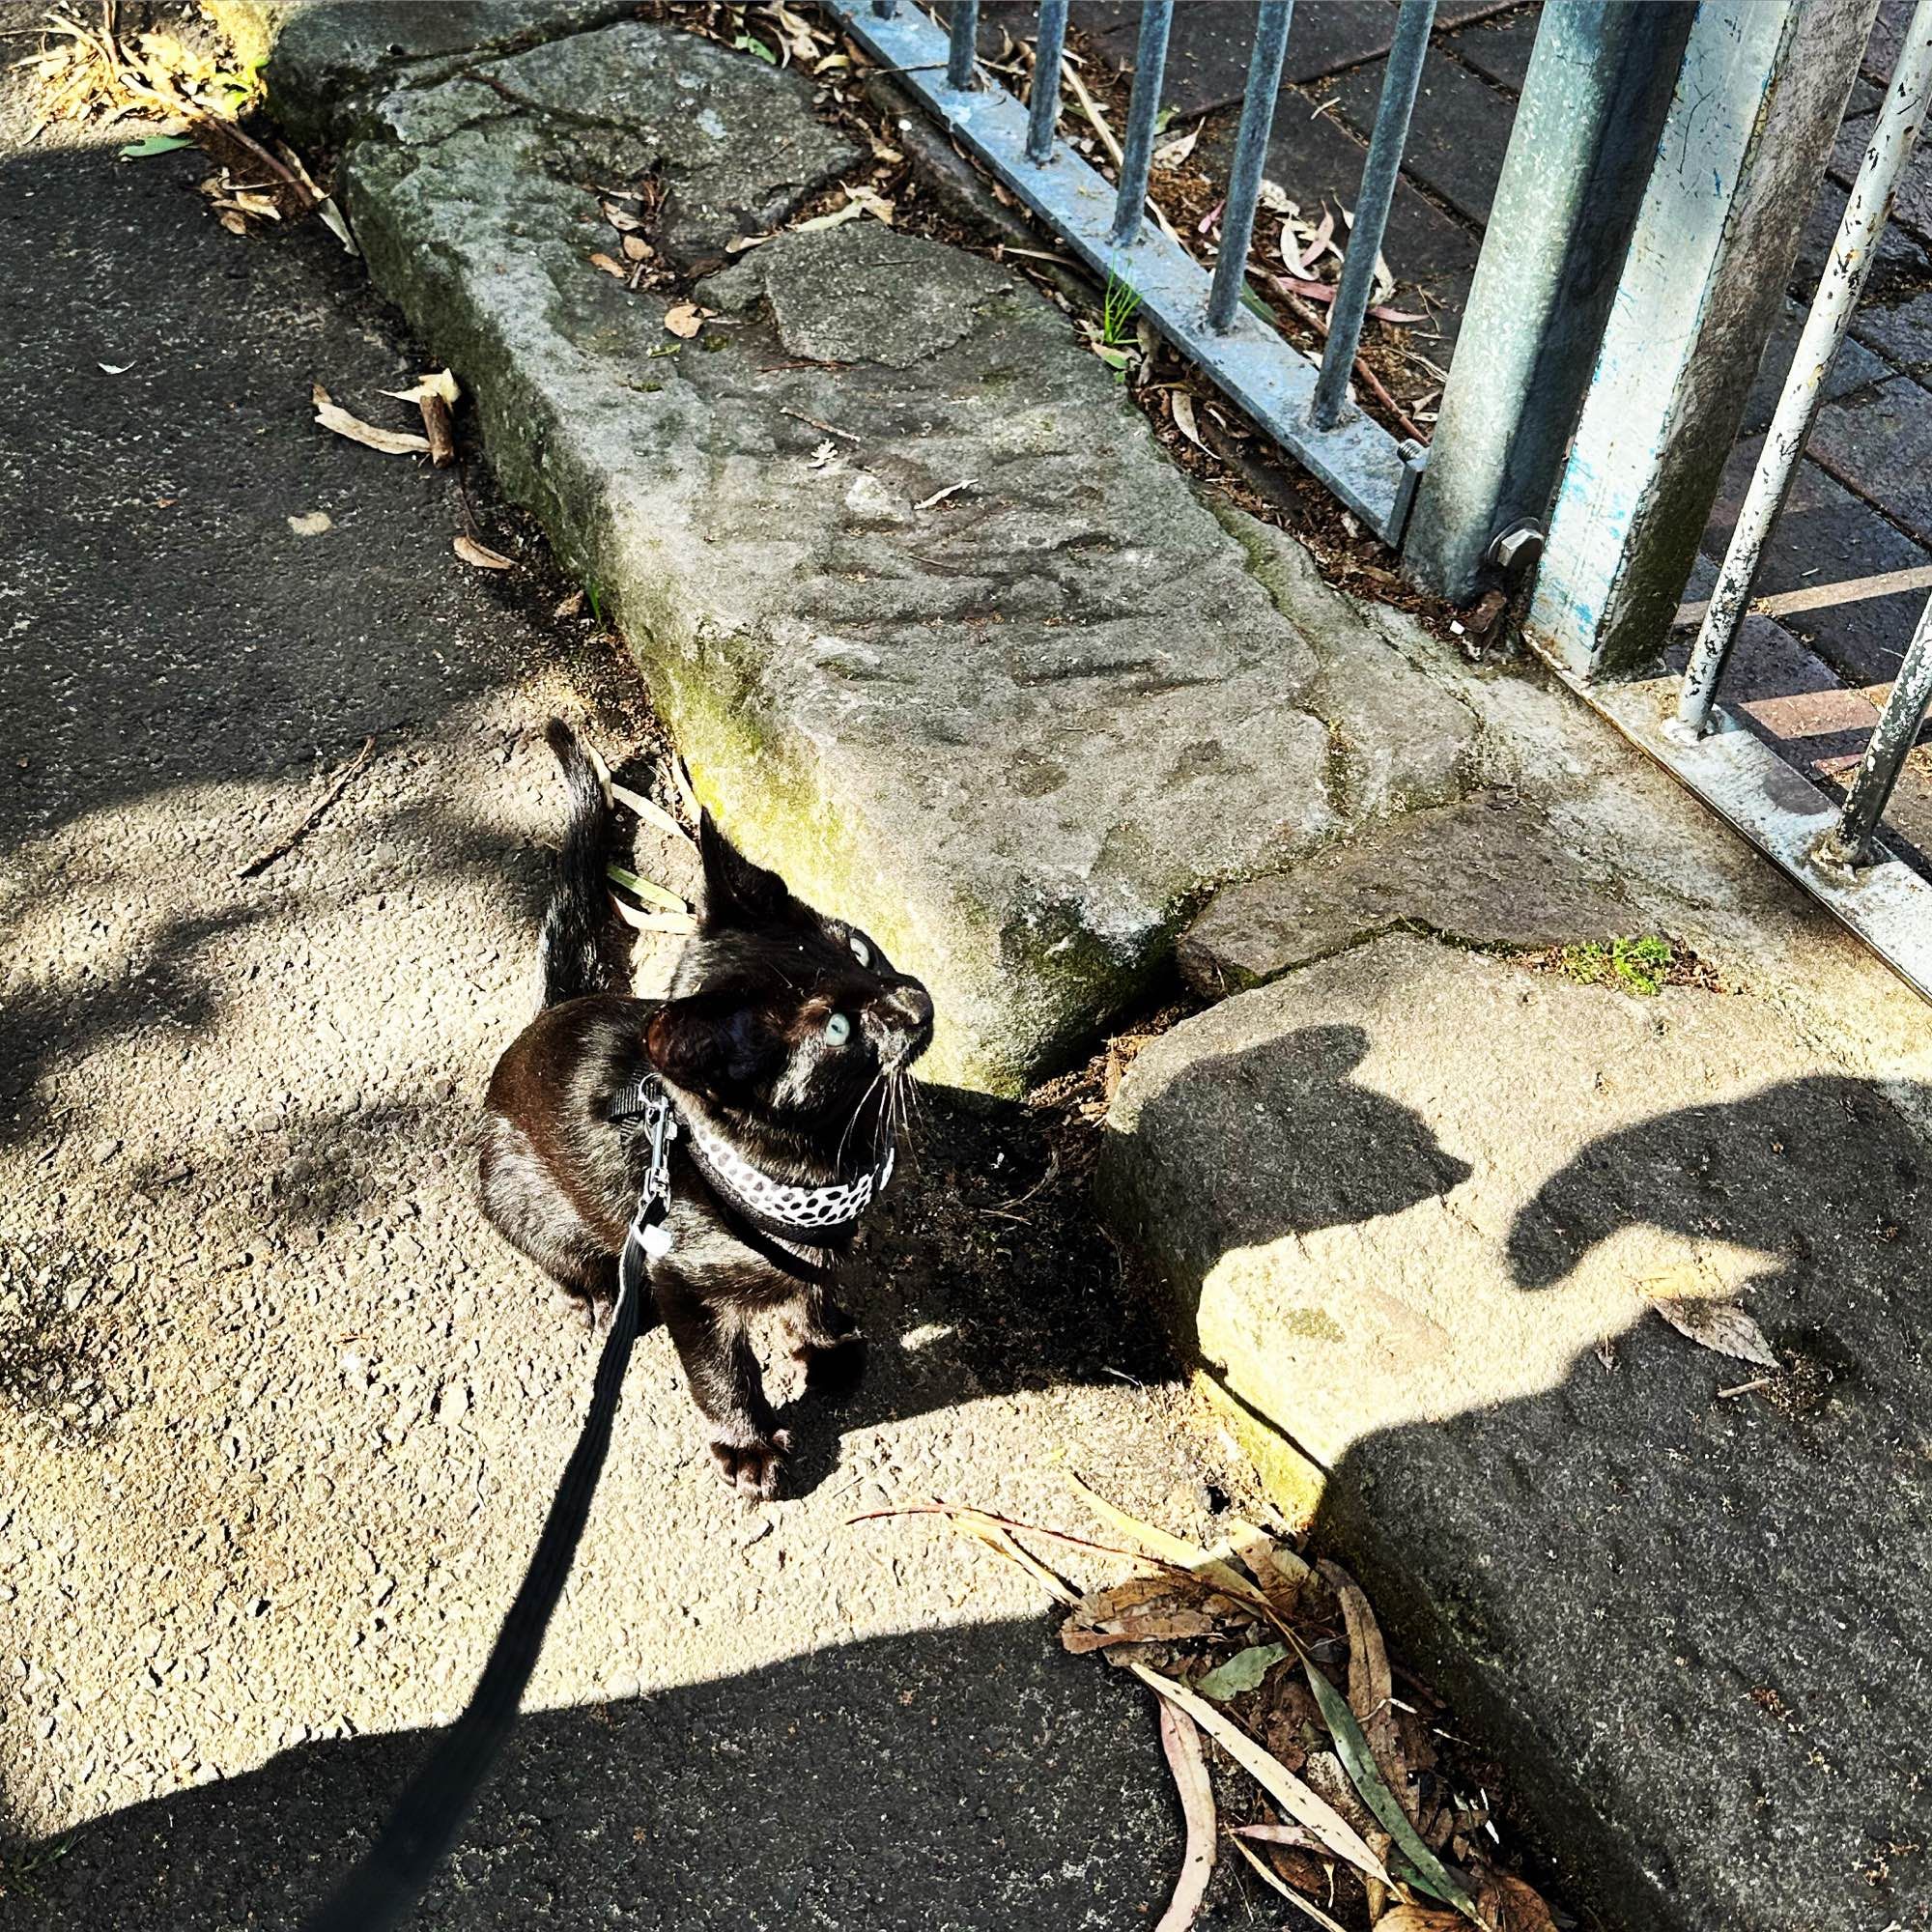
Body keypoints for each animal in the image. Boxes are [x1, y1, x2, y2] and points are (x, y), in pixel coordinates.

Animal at [481, 726, 935, 1492]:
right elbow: (719, 1369)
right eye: (837, 1031)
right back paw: (594, 1295)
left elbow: (810, 1291)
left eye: (859, 948)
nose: (915, 1004)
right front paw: (746, 1446)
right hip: (515, 1187)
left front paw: (824, 1345)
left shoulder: (810, 1255)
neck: (818, 1168)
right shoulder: (680, 1281)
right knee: (551, 1249)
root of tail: (548, 1016)